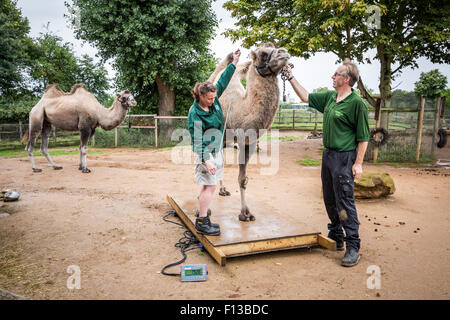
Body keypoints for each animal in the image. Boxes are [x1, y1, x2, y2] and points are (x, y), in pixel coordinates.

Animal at [209, 42, 290, 221]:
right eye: (263, 54)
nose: (284, 52)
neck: (244, 108)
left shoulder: (249, 143)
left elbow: (243, 179)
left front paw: (246, 213)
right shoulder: (238, 139)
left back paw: (222, 189)